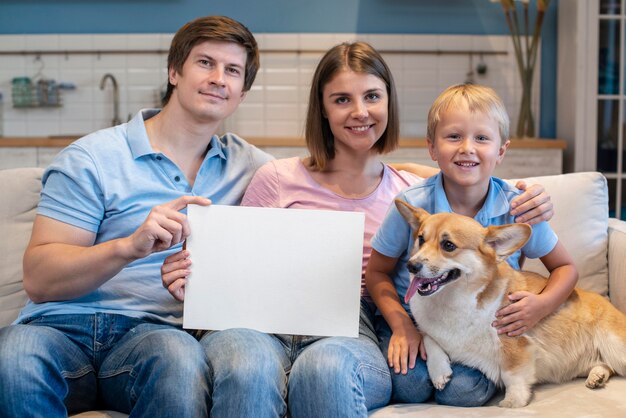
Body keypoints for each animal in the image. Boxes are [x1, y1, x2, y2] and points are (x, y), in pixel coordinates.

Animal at [394, 200, 624, 408]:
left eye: (448, 245)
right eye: (421, 239)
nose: (411, 265)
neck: (454, 301)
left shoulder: (514, 344)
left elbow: (511, 374)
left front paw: (512, 403)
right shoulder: (428, 330)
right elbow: (428, 339)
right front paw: (439, 372)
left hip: (615, 345)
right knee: (605, 365)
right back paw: (597, 377)